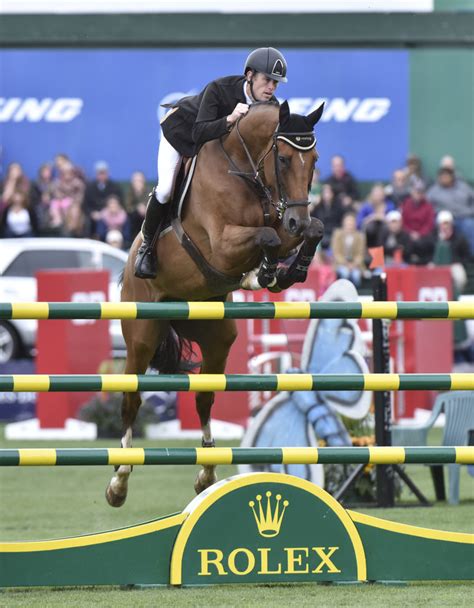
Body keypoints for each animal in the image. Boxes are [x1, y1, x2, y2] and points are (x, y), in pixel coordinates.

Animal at [105, 101, 324, 508]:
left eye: (314, 160)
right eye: (283, 159)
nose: (296, 219)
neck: (245, 166)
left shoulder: (281, 224)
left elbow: (298, 232)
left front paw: (284, 272)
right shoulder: (222, 245)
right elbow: (267, 236)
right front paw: (263, 273)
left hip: (217, 336)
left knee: (204, 398)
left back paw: (207, 474)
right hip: (141, 336)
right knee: (131, 400)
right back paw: (119, 482)